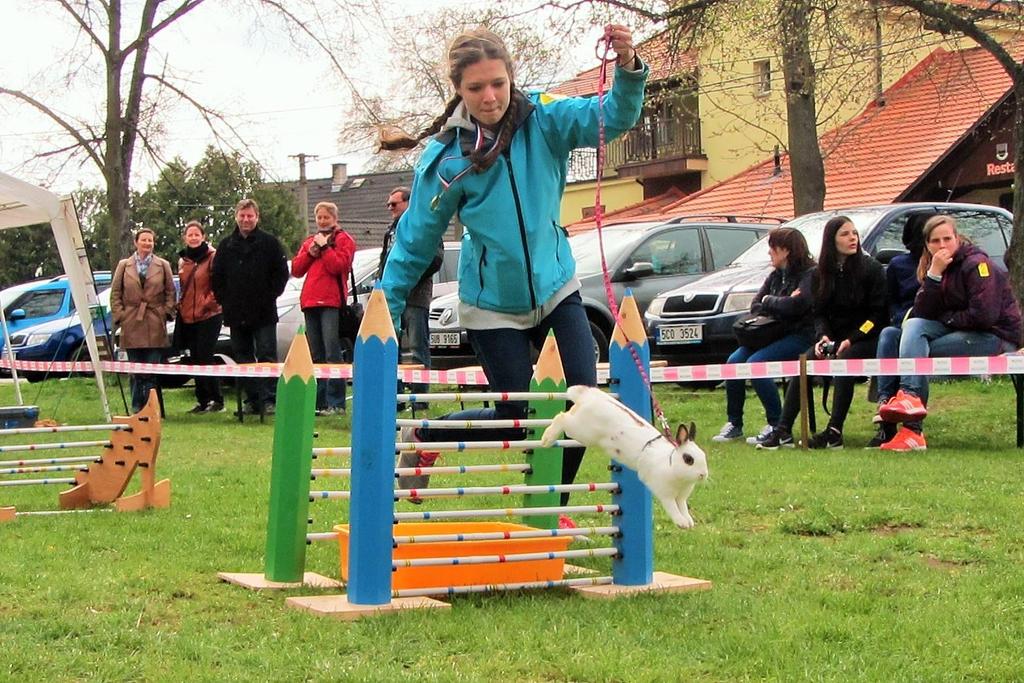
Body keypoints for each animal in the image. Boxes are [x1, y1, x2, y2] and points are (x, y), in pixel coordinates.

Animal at [544, 385, 704, 528]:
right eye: (688, 459)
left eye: (704, 456)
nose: (703, 474)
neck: (670, 464)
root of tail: (589, 396)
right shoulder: (665, 494)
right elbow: (673, 508)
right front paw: (682, 523)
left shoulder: (681, 497)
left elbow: (683, 507)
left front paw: (689, 522)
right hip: (582, 431)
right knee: (561, 417)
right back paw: (547, 439)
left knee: (568, 412)